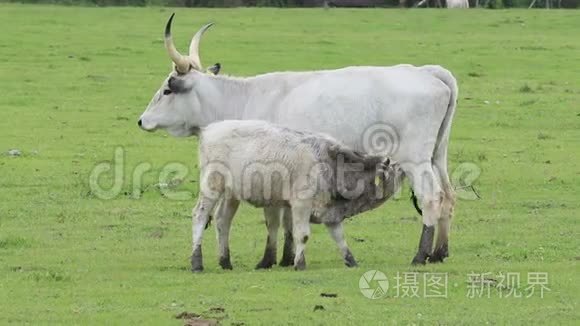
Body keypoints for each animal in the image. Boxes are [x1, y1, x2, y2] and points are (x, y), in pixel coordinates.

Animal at [190, 119, 404, 270]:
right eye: (395, 168)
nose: (405, 169)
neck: (330, 162)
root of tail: (209, 129)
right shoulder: (301, 204)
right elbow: (302, 234)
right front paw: (299, 263)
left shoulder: (330, 211)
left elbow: (339, 237)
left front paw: (351, 260)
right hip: (211, 185)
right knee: (200, 216)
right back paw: (196, 262)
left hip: (232, 193)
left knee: (223, 221)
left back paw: (225, 261)